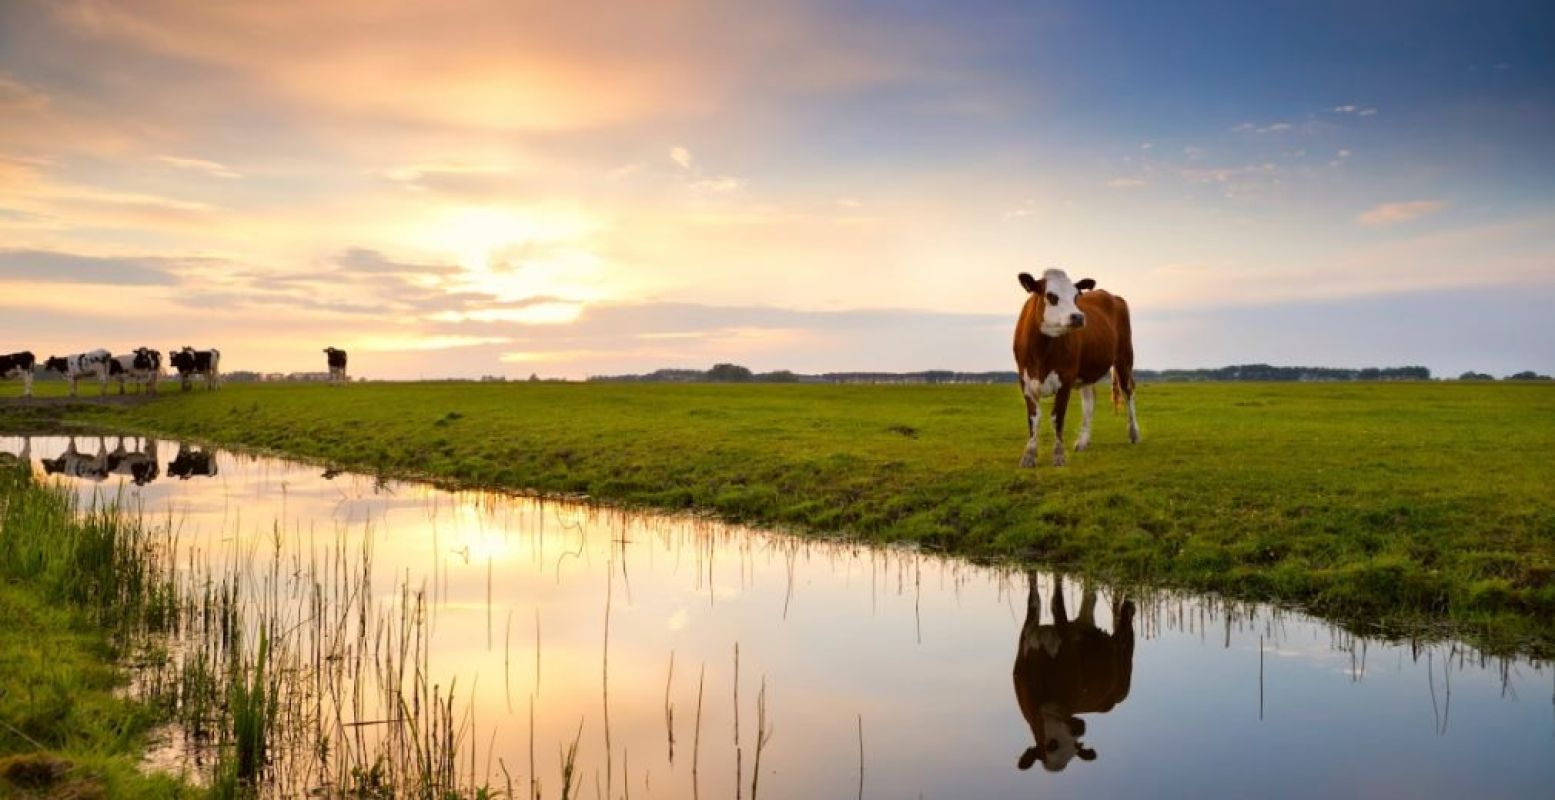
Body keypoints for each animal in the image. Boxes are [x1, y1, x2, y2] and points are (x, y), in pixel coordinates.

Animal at [1007, 269, 1144, 466]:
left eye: (1076, 296)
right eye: (1051, 296)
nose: (1078, 317)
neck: (1041, 352)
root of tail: (1111, 295)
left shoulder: (1065, 379)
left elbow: (1057, 417)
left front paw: (1058, 456)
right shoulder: (1025, 381)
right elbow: (1034, 418)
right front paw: (1029, 456)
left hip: (1124, 358)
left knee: (1128, 393)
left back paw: (1134, 434)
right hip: (1087, 372)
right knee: (1089, 402)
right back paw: (1083, 441)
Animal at [1013, 572, 1138, 771]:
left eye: (1075, 747)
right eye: (1051, 745)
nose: (1080, 728)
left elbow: (1056, 603)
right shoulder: (1027, 635)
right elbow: (1034, 599)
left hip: (1124, 669)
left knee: (1125, 630)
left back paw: (1128, 607)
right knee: (1090, 598)